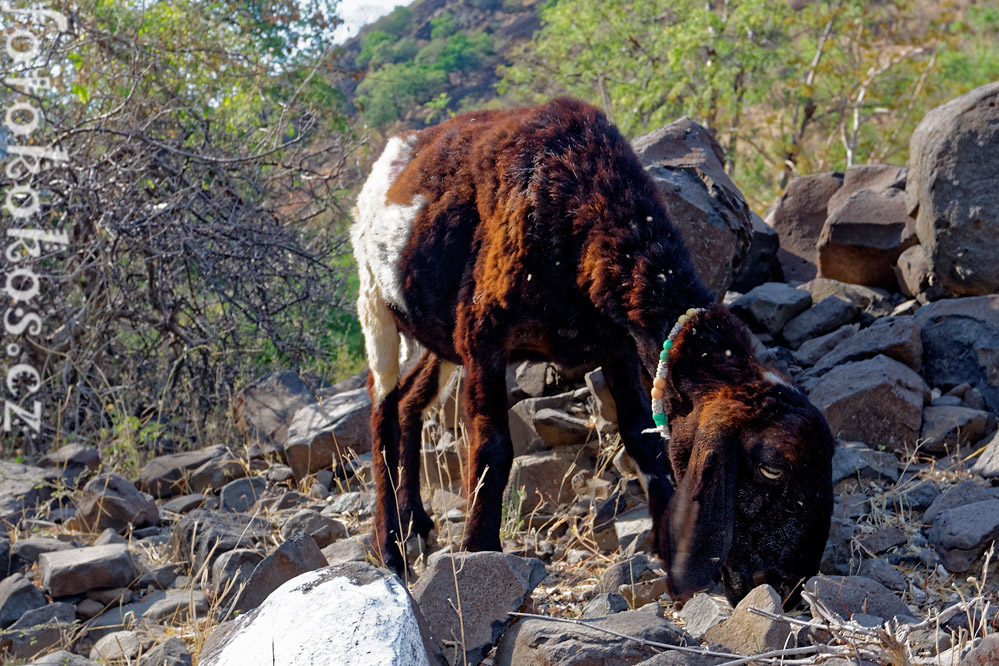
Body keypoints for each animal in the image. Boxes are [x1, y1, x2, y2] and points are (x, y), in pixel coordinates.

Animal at [352, 98, 836, 608]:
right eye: (771, 469)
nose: (788, 589)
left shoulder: (617, 346)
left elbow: (646, 444)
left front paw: (666, 550)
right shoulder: (483, 335)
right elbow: (491, 451)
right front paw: (480, 554)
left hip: (437, 336)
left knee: (410, 401)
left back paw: (417, 523)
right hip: (375, 303)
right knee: (382, 412)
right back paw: (391, 549)